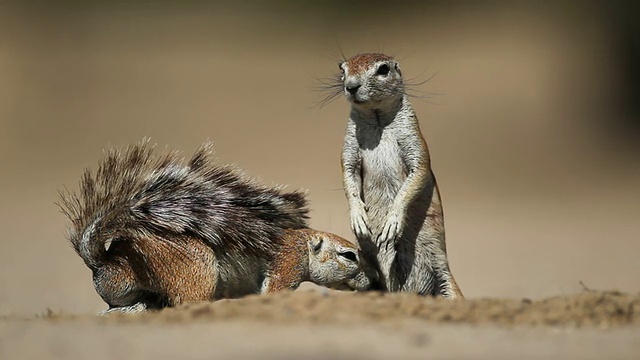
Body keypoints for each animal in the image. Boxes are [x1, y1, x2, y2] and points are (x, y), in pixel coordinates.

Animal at [58, 139, 376, 314]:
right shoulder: (289, 261)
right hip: (196, 271)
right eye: (349, 255)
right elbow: (275, 291)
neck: (304, 242)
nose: (372, 284)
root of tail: (106, 264)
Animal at [330, 52, 460, 296]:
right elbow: (348, 174)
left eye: (383, 69)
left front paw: (392, 222)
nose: (351, 86)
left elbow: (417, 173)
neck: (378, 118)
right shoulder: (349, 146)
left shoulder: (415, 140)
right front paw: (359, 218)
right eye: (342, 69)